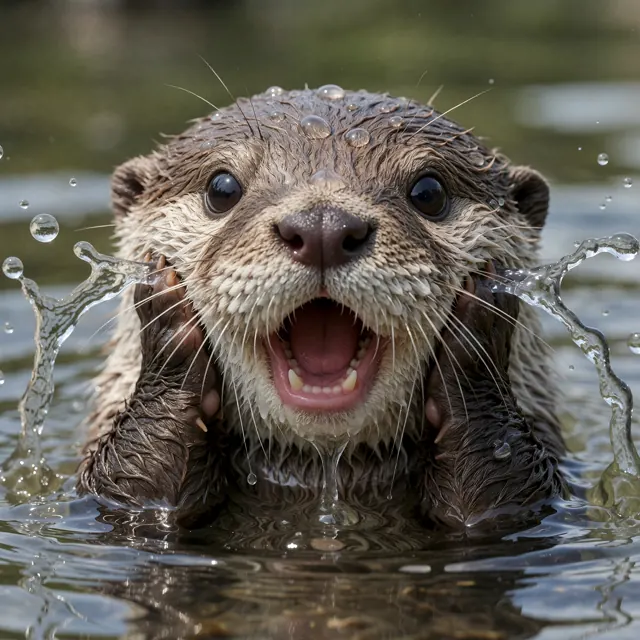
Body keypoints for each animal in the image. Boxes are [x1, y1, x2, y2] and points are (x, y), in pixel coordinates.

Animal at [77, 86, 565, 529]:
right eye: (222, 188)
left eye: (429, 192)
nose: (323, 226)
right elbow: (138, 483)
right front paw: (169, 322)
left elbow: (494, 492)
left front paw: (477, 327)